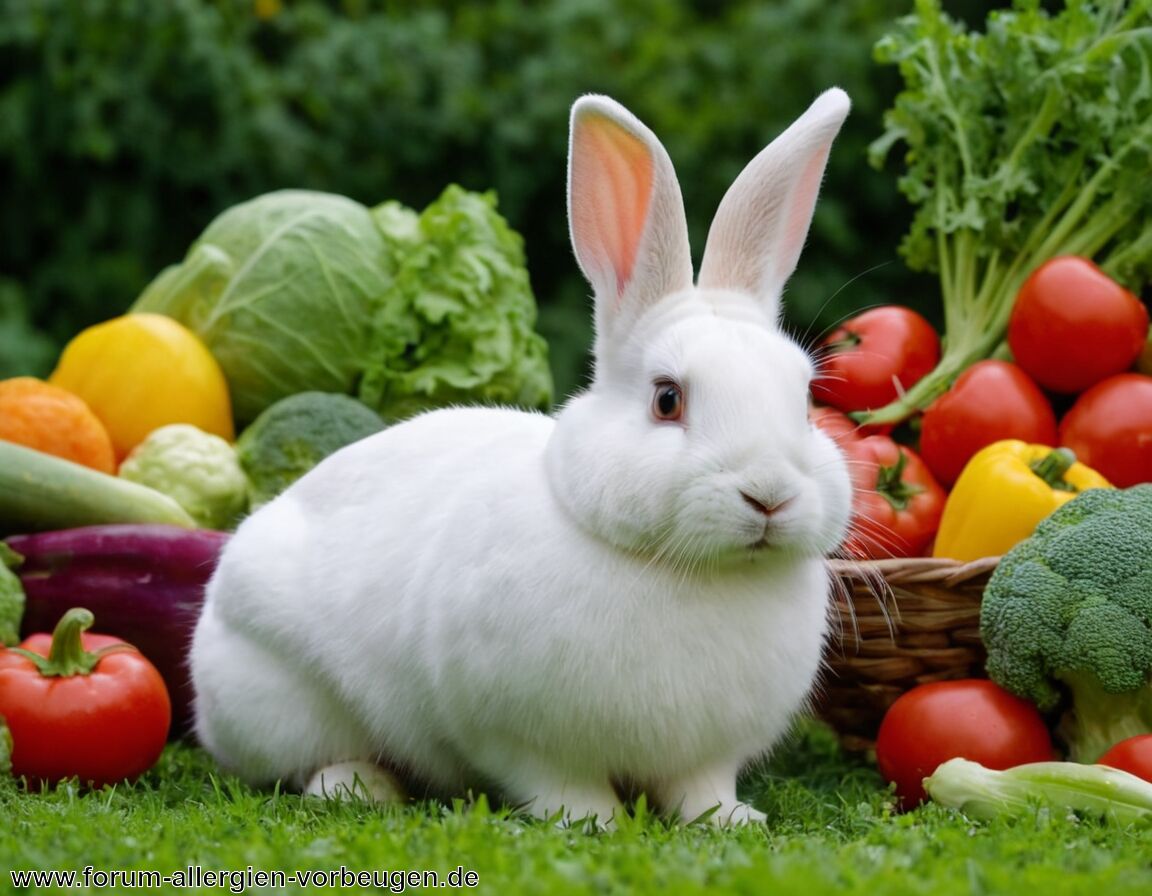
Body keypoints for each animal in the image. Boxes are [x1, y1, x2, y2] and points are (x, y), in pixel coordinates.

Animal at [189, 87, 854, 827]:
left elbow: (699, 789)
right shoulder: (517, 737)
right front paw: (595, 822)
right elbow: (559, 784)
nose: (769, 493)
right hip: (287, 695)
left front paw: (734, 821)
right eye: (667, 399)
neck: (692, 572)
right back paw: (359, 785)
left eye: (805, 398)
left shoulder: (705, 755)